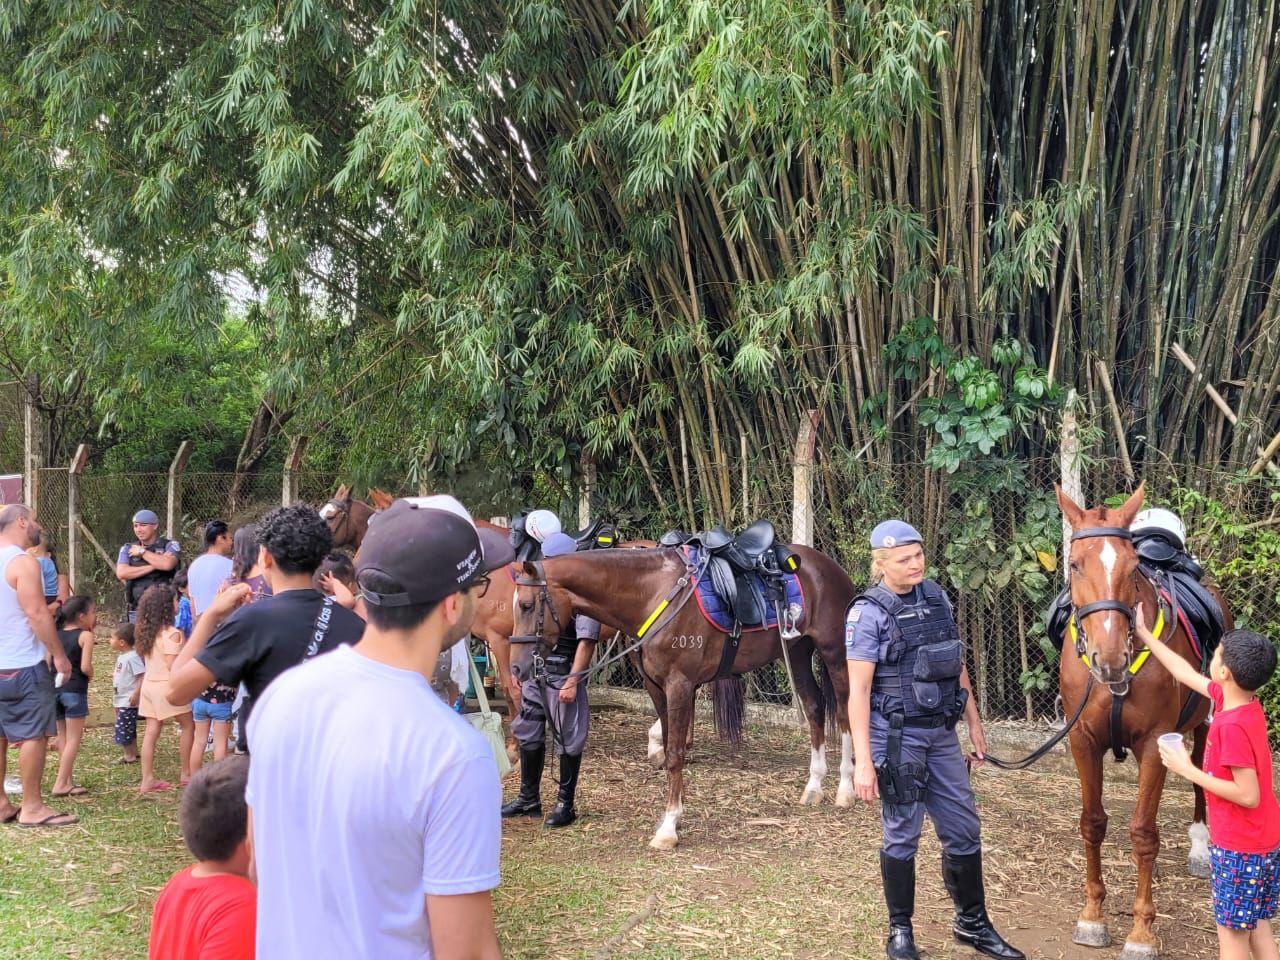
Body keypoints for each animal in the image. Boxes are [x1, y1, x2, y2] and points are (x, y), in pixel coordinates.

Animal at [504, 545, 855, 855]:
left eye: (526, 605)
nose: (517, 667)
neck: (652, 595)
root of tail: (828, 567)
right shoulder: (655, 687)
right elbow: (669, 744)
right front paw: (675, 814)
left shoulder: (680, 685)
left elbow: (674, 754)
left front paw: (668, 828)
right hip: (797, 651)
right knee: (814, 707)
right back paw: (814, 787)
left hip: (834, 652)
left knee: (844, 712)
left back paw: (845, 788)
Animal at [1054, 488, 1223, 960]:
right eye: (1076, 565)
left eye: (1132, 569)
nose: (1110, 660)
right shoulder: (1083, 740)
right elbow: (1093, 822)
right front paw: (1093, 916)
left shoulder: (1153, 742)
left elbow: (1144, 833)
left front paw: (1142, 932)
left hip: (1202, 722)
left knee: (1199, 774)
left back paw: (1200, 847)